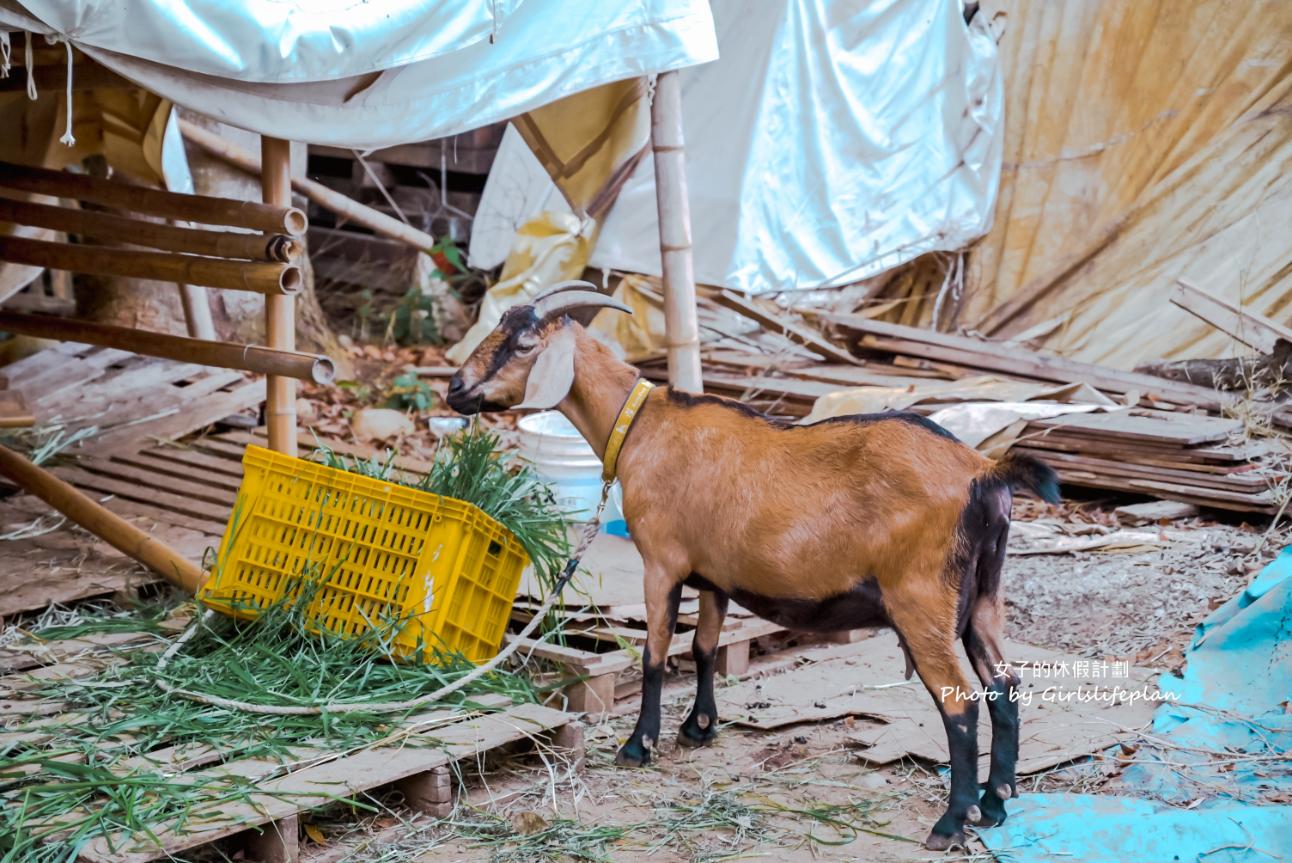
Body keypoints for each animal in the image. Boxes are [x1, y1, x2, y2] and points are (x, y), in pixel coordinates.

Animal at [447, 288, 1059, 847]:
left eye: (524, 344)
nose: (455, 389)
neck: (643, 424)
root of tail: (984, 471)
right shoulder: (715, 575)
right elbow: (704, 647)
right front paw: (698, 728)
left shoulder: (662, 563)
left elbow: (654, 654)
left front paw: (639, 745)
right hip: (983, 597)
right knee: (1004, 685)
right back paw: (995, 804)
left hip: (921, 598)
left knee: (960, 703)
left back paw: (951, 822)